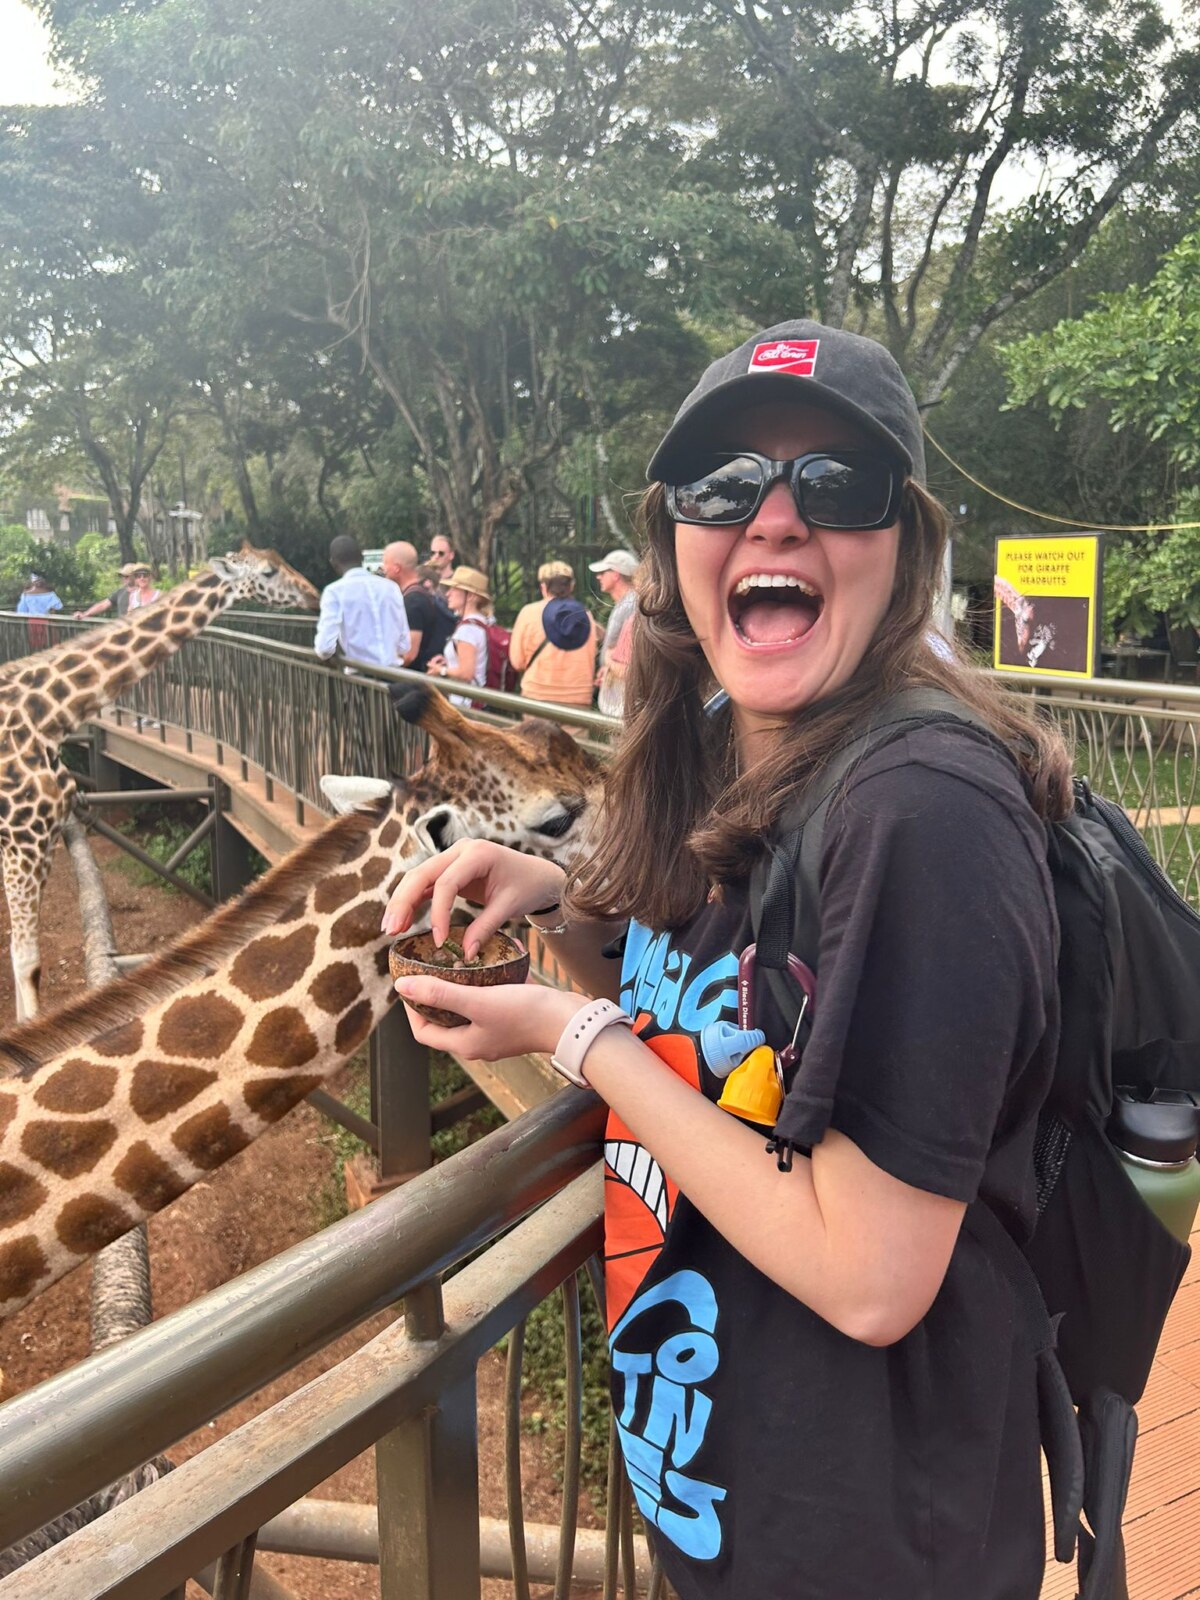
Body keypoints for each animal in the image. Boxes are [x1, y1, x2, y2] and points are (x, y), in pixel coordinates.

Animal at [0, 543, 320, 1021]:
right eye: (267, 572)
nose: (314, 594)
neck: (50, 715)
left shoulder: (45, 837)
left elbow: (23, 953)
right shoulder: (22, 841)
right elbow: (26, 959)